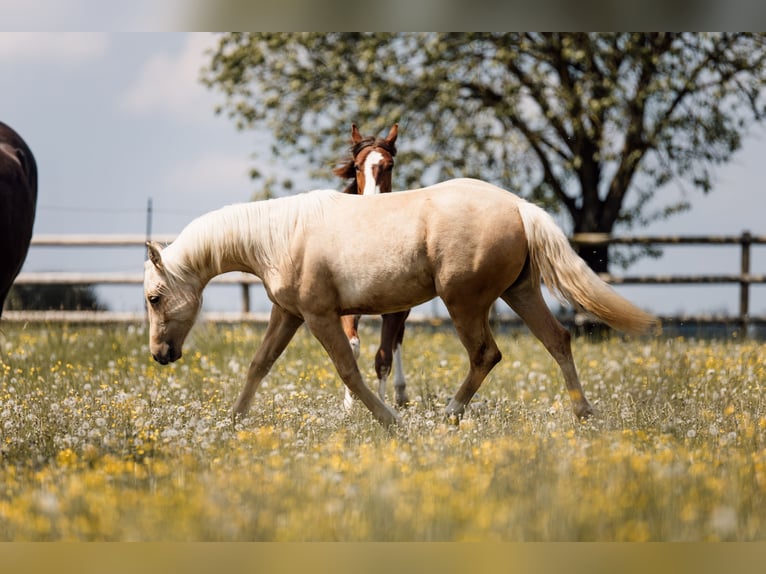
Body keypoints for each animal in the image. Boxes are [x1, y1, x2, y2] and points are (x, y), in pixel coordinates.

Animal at [144, 178, 659, 429]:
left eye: (154, 297)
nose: (160, 355)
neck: (280, 236)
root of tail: (517, 206)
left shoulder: (319, 317)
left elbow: (349, 372)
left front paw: (391, 422)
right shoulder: (288, 314)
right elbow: (259, 365)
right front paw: (231, 422)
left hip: (464, 303)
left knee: (486, 354)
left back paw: (448, 416)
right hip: (521, 292)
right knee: (558, 341)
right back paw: (583, 415)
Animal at [332, 123, 410, 409]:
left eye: (389, 166)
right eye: (356, 166)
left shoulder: (396, 311)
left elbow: (383, 358)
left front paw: (382, 406)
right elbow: (351, 348)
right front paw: (349, 405)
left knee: (397, 342)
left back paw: (400, 394)